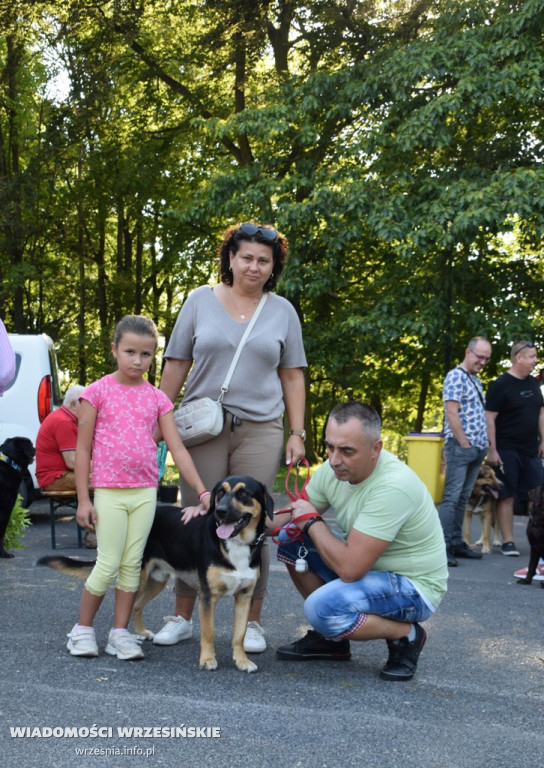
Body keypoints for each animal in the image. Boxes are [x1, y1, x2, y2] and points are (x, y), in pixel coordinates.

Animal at [38, 474, 274, 672]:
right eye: (220, 493)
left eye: (244, 494)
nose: (220, 511)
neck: (236, 544)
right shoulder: (207, 596)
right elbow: (209, 633)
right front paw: (207, 660)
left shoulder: (245, 597)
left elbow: (239, 635)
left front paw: (242, 661)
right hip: (138, 576)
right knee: (125, 604)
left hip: (156, 581)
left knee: (135, 605)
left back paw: (141, 633)